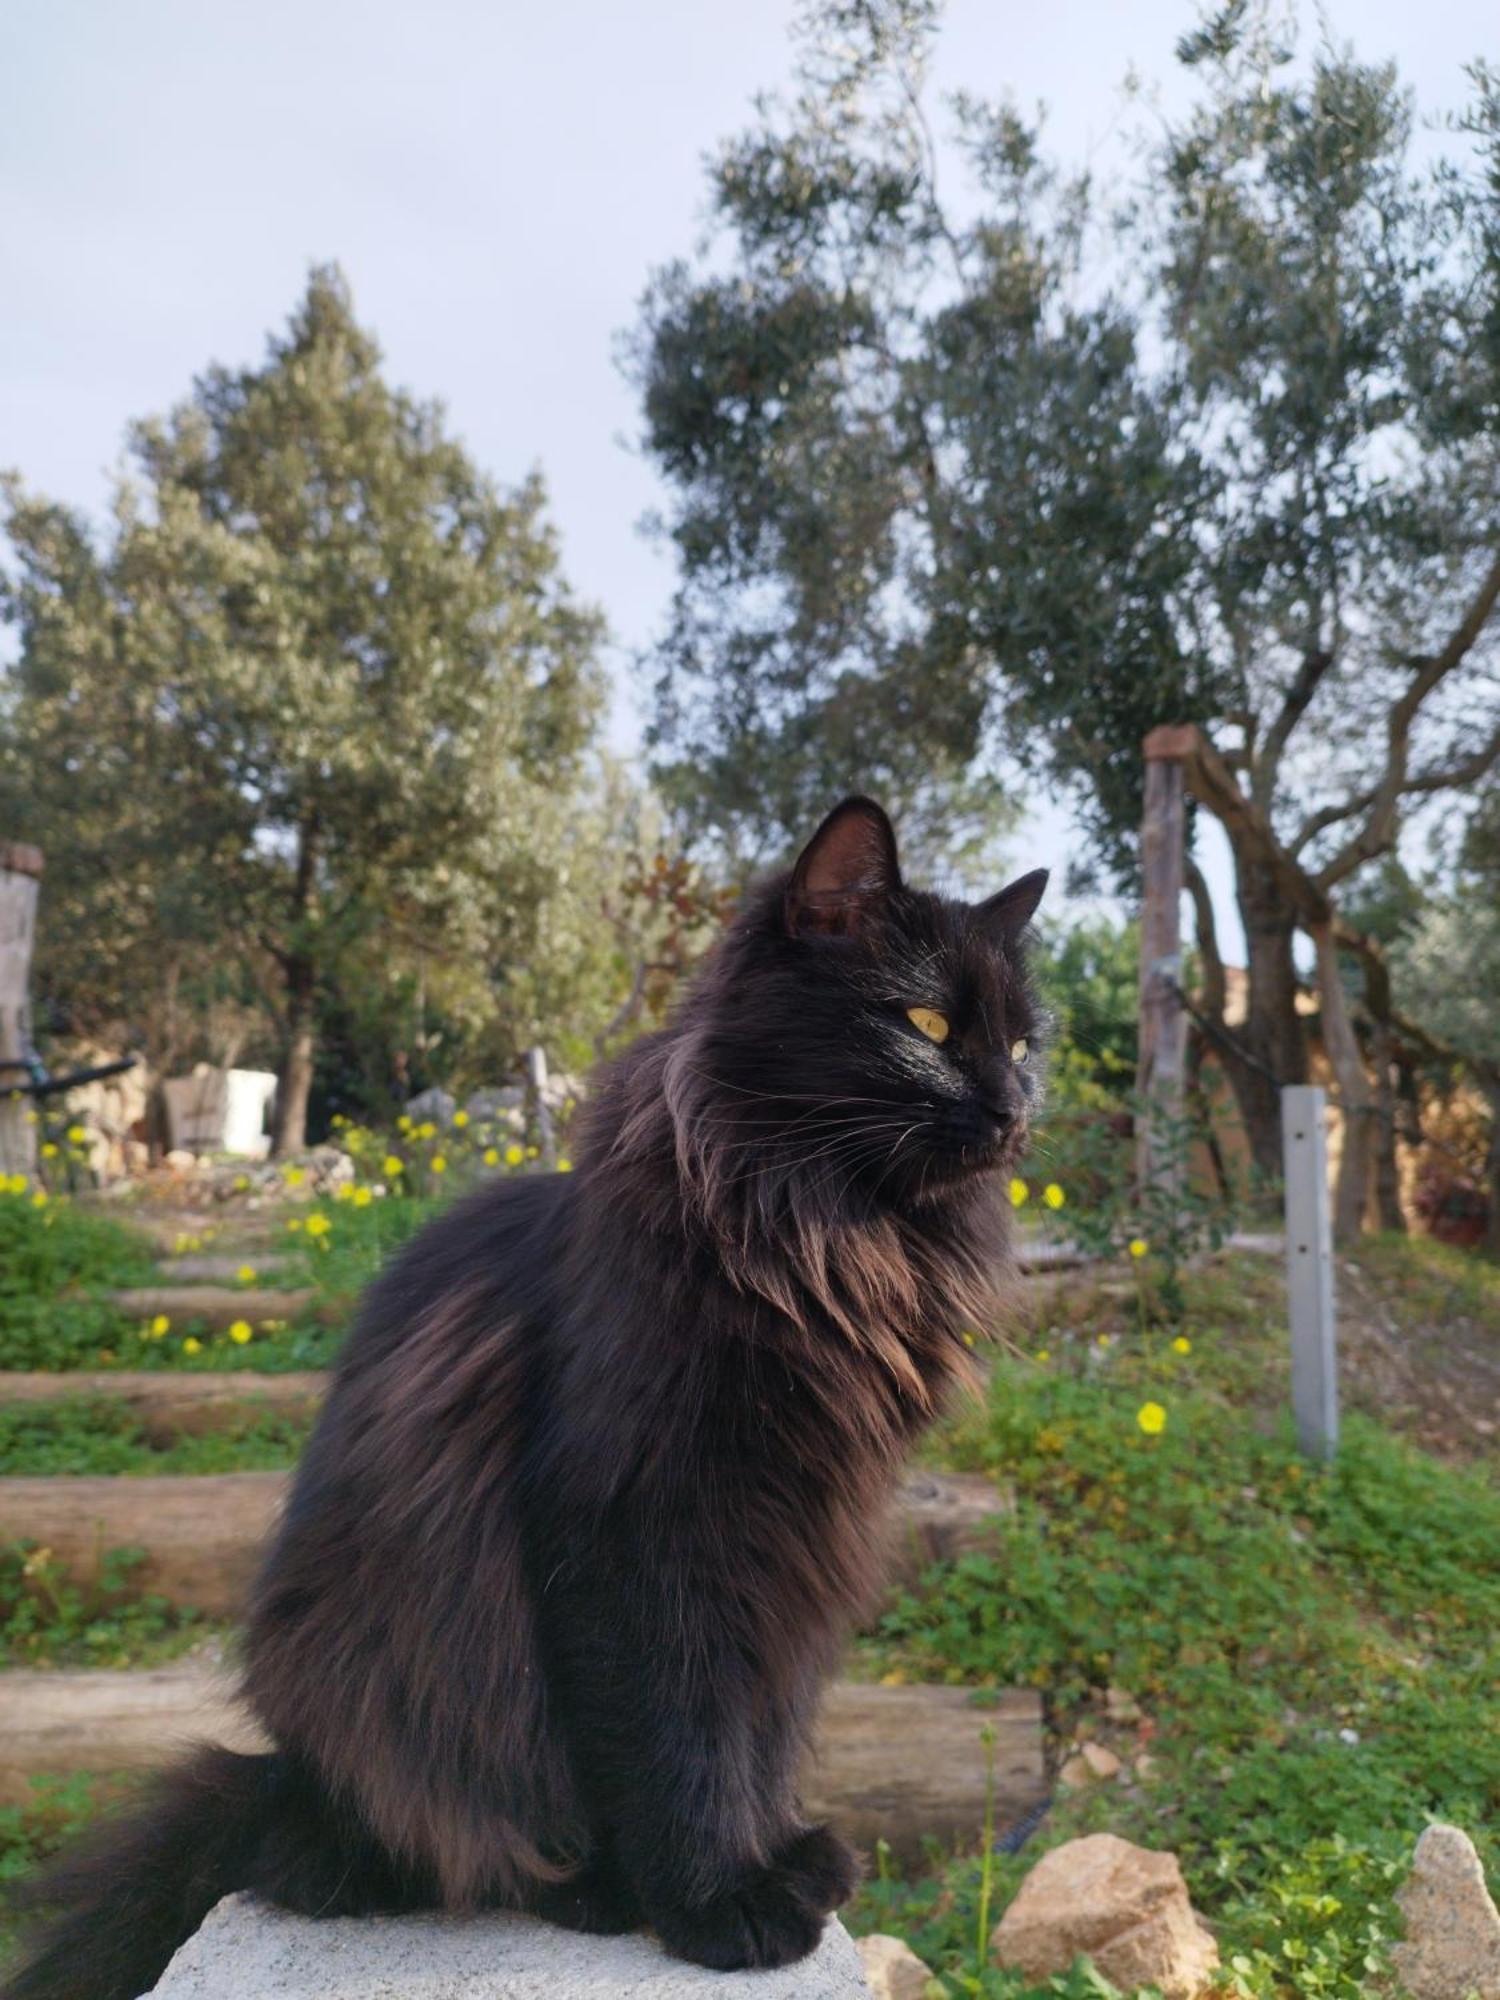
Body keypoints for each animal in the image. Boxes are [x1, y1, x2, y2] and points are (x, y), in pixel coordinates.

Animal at [5, 796, 1048, 2000]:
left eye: (1026, 1044)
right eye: (927, 1022)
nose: (1015, 1109)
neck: (829, 1236)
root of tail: (285, 1779)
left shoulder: (799, 1544)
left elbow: (765, 1723)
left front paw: (775, 1850)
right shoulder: (631, 1526)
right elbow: (677, 1735)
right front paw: (717, 1901)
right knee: (399, 1849)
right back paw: (586, 1888)